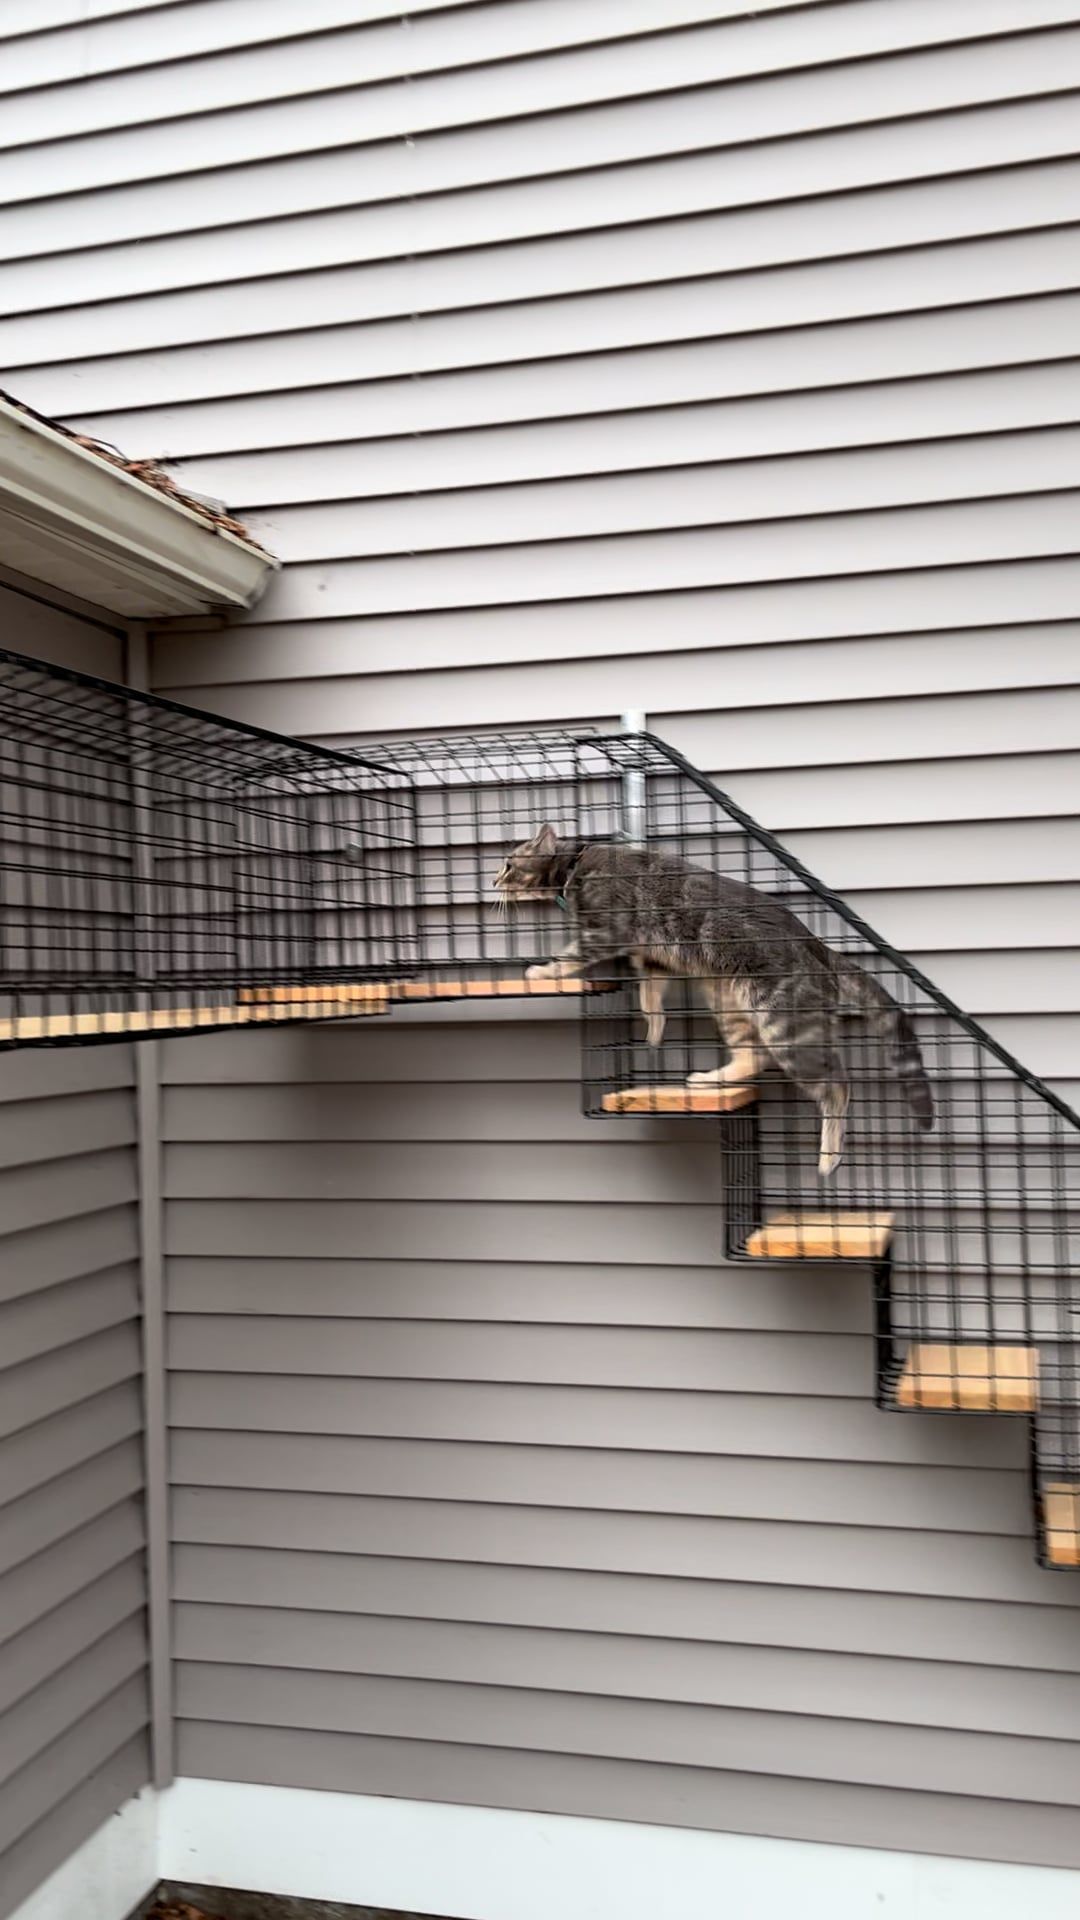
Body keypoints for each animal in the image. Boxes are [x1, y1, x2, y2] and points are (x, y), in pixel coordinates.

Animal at [491, 829, 930, 1175]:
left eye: (509, 863)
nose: (494, 881)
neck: (576, 863)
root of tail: (820, 947)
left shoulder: (605, 931)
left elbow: (570, 957)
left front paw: (543, 972)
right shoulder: (653, 960)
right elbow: (650, 1000)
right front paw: (654, 1031)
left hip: (783, 1025)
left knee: (837, 1086)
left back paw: (829, 1156)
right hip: (727, 1001)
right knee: (753, 1056)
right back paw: (711, 1079)